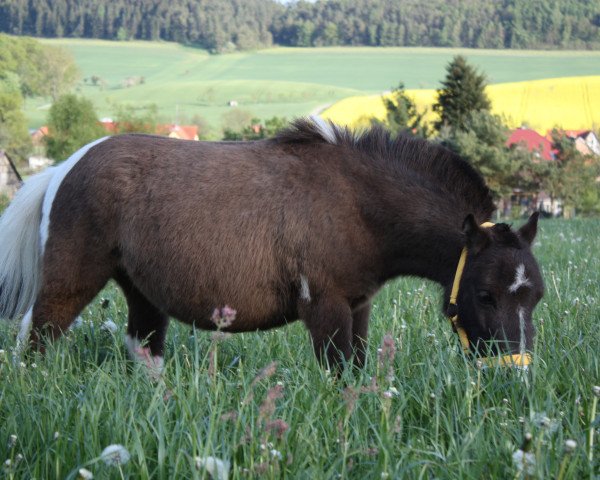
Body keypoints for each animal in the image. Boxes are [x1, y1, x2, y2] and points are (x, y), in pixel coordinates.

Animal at [0, 116, 544, 372]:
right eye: (484, 294)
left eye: (534, 297)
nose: (515, 371)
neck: (355, 199)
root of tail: (63, 169)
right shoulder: (324, 306)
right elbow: (339, 372)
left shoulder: (358, 306)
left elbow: (358, 368)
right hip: (71, 282)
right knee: (36, 338)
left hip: (142, 291)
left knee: (145, 349)